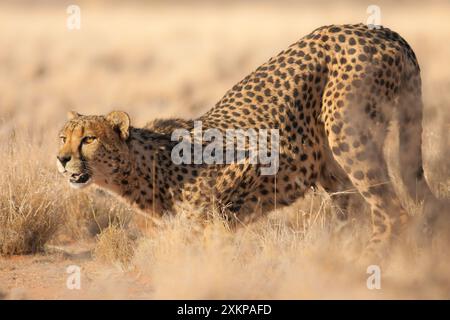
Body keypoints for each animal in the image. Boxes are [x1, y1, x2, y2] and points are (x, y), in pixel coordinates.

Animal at [57, 24, 440, 260]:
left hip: (347, 132)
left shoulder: (257, 158)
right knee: (361, 209)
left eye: (88, 139)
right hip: (331, 164)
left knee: (393, 213)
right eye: (63, 138)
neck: (144, 166)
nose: (61, 159)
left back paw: (364, 263)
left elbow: (215, 225)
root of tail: (381, 31)